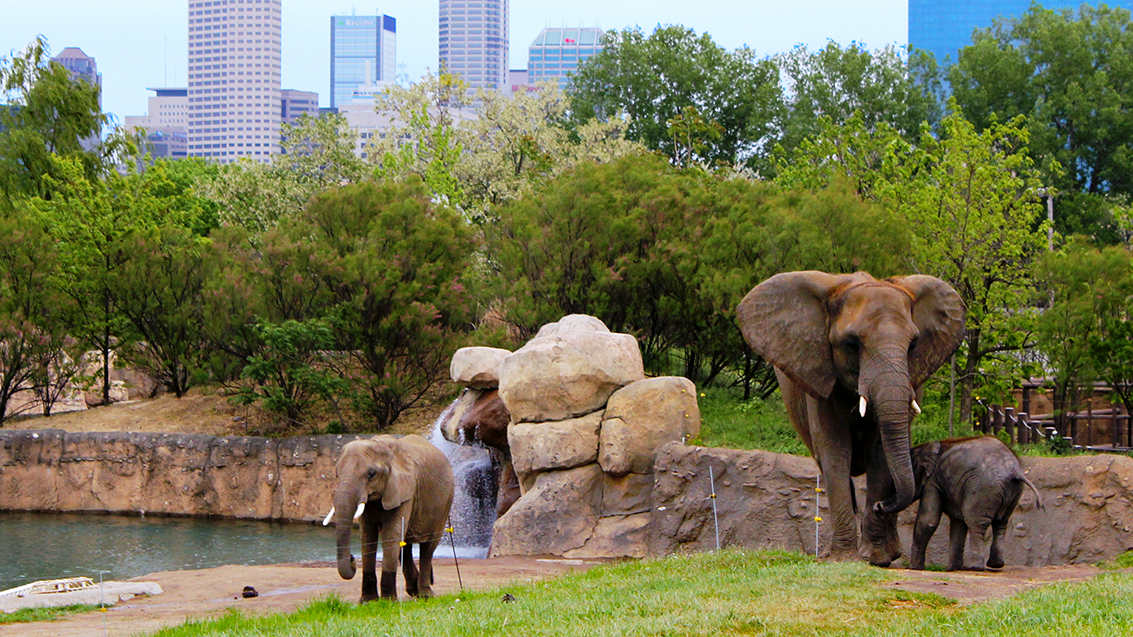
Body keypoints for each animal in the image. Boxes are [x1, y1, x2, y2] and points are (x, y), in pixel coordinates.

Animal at [330, 430, 453, 598]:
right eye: (337, 474)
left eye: (371, 474)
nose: (352, 559)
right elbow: (367, 535)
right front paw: (369, 601)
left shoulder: (405, 490)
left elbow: (390, 534)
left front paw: (388, 601)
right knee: (405, 545)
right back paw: (413, 590)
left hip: (445, 503)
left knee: (428, 547)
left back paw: (425, 595)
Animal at [734, 269, 965, 562]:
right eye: (852, 344)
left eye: (913, 345)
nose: (880, 506)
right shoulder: (819, 376)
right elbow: (834, 452)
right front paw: (843, 558)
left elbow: (880, 454)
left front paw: (875, 558)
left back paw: (891, 553)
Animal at [906, 432, 1046, 566]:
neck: (923, 448)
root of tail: (1014, 470)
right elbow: (958, 522)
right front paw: (953, 569)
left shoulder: (932, 481)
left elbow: (928, 521)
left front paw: (915, 567)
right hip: (1013, 490)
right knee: (1001, 522)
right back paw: (996, 564)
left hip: (983, 487)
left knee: (975, 522)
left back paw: (975, 566)